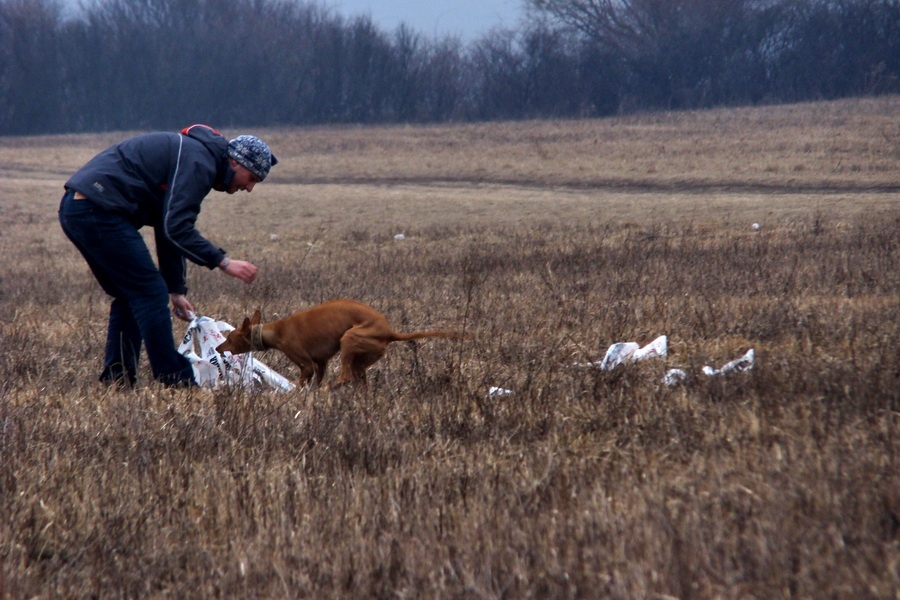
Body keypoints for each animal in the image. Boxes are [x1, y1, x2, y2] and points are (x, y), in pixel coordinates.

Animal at [214, 300, 460, 390]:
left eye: (230, 338)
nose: (217, 348)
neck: (277, 330)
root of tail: (389, 331)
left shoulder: (306, 365)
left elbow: (302, 382)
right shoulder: (320, 363)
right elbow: (316, 379)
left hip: (349, 339)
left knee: (345, 376)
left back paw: (330, 389)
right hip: (363, 359)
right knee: (359, 379)